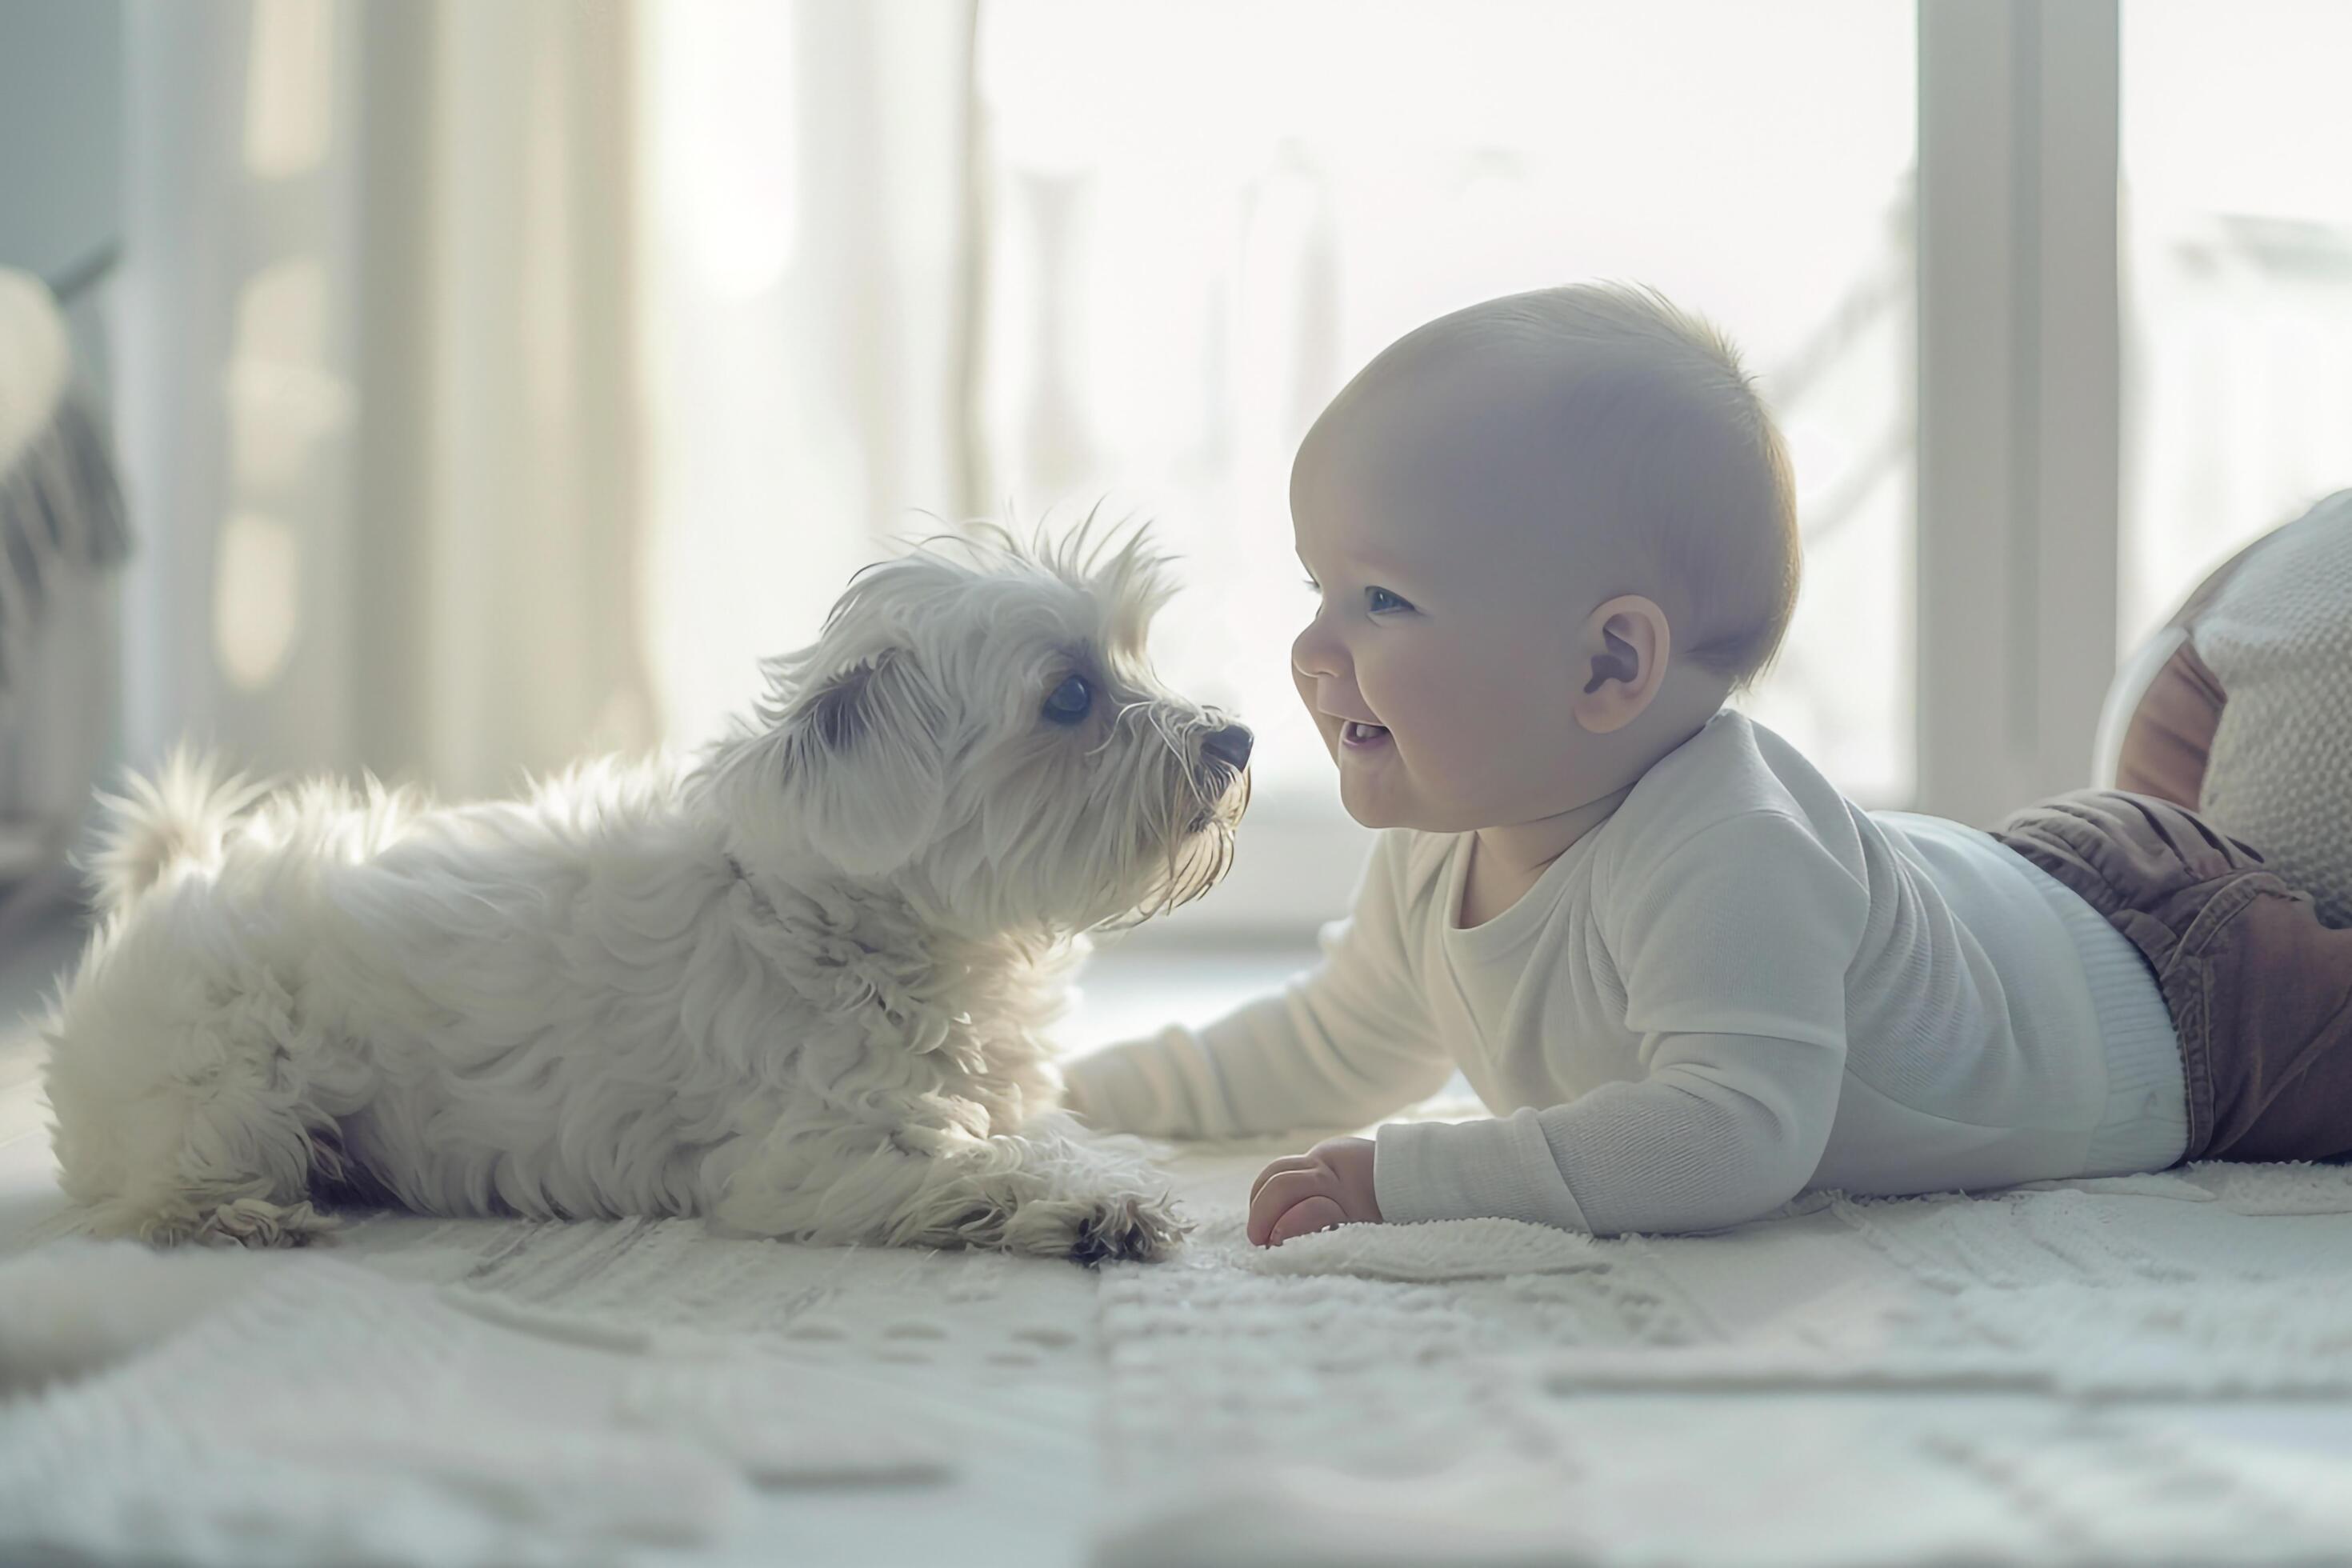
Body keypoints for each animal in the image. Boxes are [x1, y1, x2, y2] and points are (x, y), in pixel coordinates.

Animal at [41, 526, 1251, 1260]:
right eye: (1071, 696)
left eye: (1129, 660)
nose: (1235, 739)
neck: (837, 923)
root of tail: (173, 880)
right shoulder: (821, 1154)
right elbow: (996, 1159)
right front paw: (1095, 1203)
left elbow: (1045, 1125)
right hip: (234, 1077)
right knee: (147, 1195)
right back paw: (246, 1215)